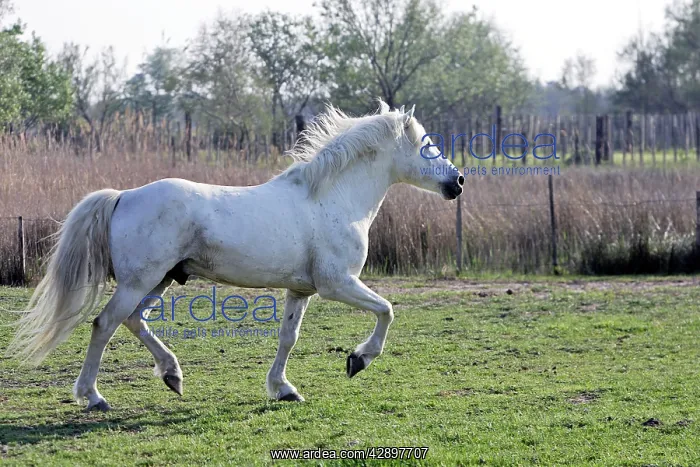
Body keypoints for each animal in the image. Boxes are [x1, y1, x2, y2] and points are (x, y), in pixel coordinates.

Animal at [6, 100, 464, 411]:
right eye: (427, 145)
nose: (457, 181)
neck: (331, 198)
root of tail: (123, 195)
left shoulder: (302, 291)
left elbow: (288, 337)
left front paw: (284, 389)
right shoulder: (338, 284)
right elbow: (386, 310)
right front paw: (358, 360)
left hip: (161, 279)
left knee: (134, 321)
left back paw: (172, 375)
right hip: (141, 280)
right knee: (104, 324)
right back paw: (93, 396)